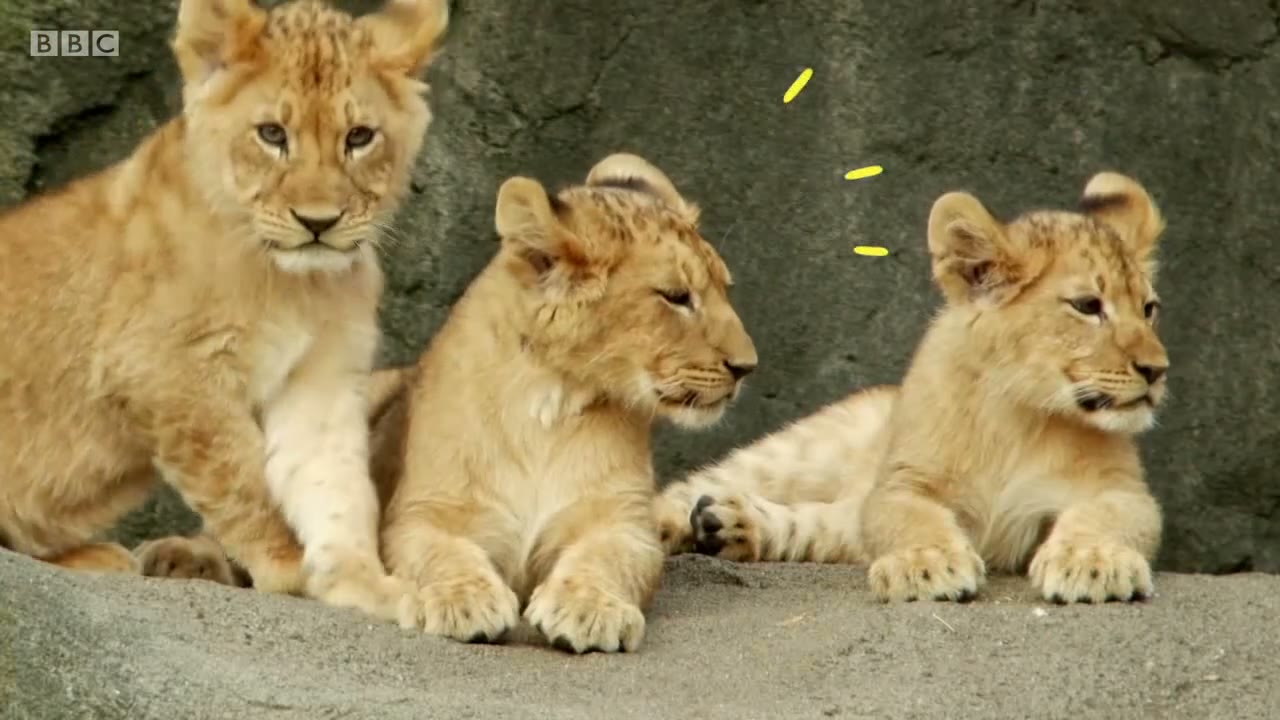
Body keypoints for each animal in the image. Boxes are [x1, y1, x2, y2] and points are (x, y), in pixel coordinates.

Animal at [0, 0, 449, 623]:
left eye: (359, 137)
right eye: (271, 134)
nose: (318, 222)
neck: (293, 284)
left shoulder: (322, 376)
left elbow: (337, 487)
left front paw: (363, 584)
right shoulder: (164, 369)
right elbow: (243, 478)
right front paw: (289, 568)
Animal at [374, 153, 757, 653]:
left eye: (724, 289)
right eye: (676, 297)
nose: (747, 366)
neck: (548, 401)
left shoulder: (624, 522)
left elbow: (605, 559)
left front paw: (589, 611)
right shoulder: (420, 514)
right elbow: (442, 553)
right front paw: (463, 602)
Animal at [656, 172, 1169, 605]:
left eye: (1148, 309)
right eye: (1087, 306)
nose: (1156, 370)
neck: (1020, 415)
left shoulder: (1124, 489)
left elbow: (1106, 515)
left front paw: (1092, 562)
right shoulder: (902, 482)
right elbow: (911, 518)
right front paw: (927, 566)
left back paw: (726, 524)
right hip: (800, 452)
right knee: (692, 485)